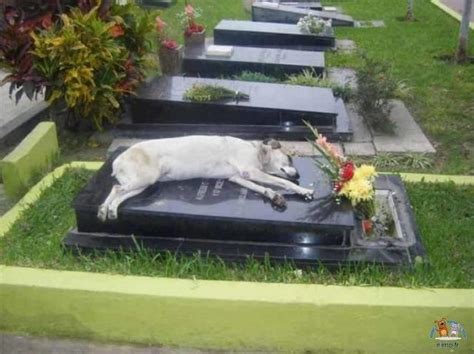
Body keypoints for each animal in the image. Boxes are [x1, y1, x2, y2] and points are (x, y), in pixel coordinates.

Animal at [97, 136, 314, 221]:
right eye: (290, 158)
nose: (299, 175)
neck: (257, 151)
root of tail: (117, 160)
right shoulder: (249, 171)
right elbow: (282, 182)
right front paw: (303, 190)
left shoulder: (238, 177)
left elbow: (264, 188)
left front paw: (275, 197)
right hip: (143, 179)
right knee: (115, 189)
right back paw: (102, 209)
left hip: (141, 184)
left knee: (119, 194)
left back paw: (109, 211)